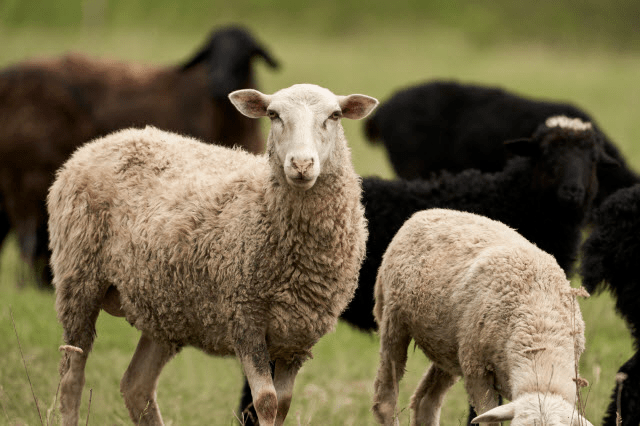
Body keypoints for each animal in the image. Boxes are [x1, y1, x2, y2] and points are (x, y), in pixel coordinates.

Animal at [47, 83, 377, 426]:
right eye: (273, 115)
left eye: (334, 115)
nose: (301, 164)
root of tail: (106, 140)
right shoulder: (245, 319)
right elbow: (267, 402)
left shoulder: (297, 338)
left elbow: (283, 405)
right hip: (79, 279)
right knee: (71, 376)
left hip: (165, 306)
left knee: (136, 385)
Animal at [372, 208, 592, 426]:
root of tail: (425, 213)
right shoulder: (477, 370)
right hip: (394, 320)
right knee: (386, 399)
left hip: (447, 346)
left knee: (426, 400)